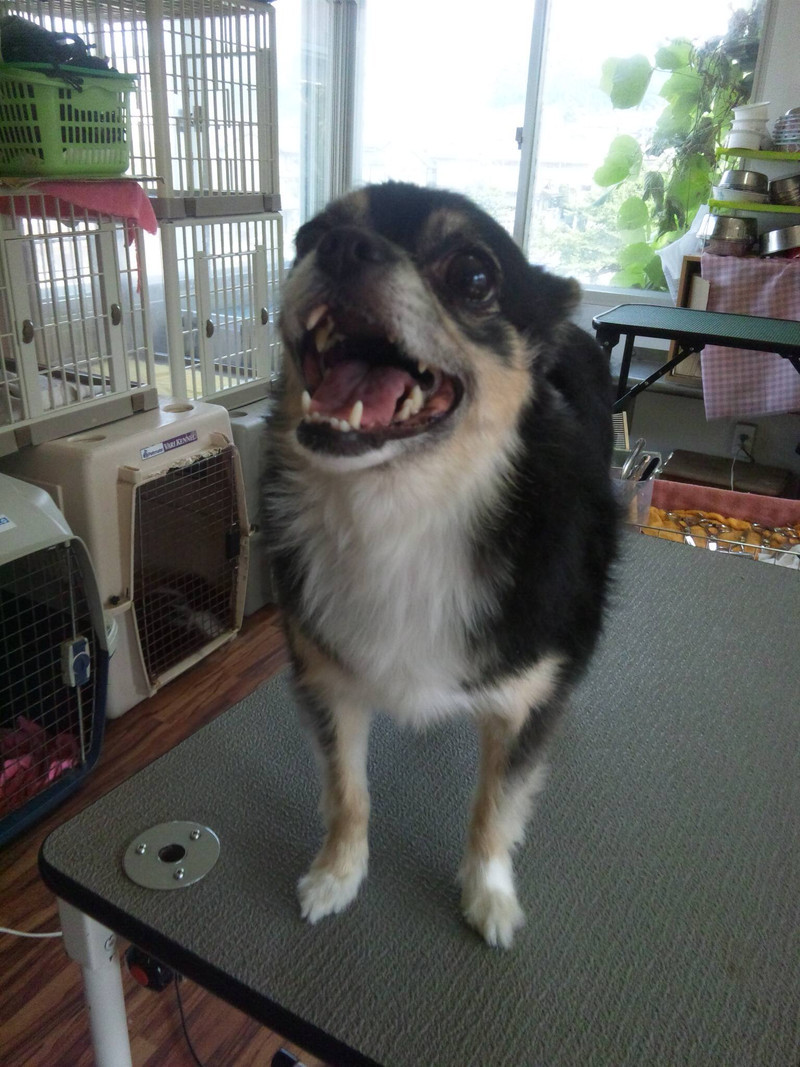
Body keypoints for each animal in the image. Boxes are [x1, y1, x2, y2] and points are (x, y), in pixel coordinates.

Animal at [264, 181, 618, 948]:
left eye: (475, 276)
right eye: (308, 236)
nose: (341, 247)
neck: (402, 508)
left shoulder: (523, 701)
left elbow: (495, 809)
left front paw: (488, 895)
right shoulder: (328, 682)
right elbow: (348, 792)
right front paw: (338, 873)